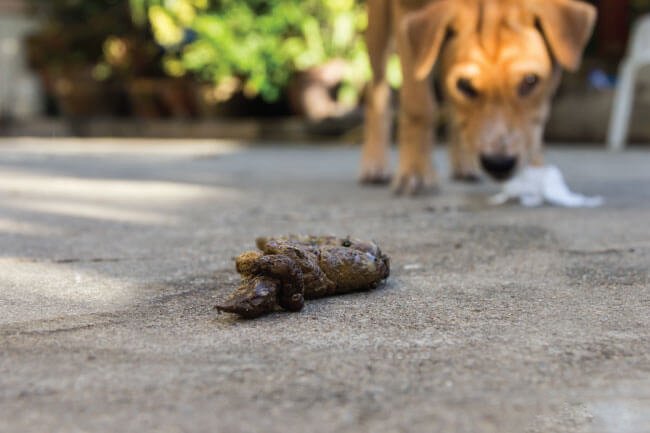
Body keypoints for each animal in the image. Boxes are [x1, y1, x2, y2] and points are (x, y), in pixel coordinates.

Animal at [362, 0, 596, 192]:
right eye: (465, 85)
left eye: (530, 80)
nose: (499, 164)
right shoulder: (406, 11)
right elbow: (418, 104)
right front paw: (415, 170)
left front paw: (535, 166)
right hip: (378, 29)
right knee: (377, 89)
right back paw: (375, 164)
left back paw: (464, 164)